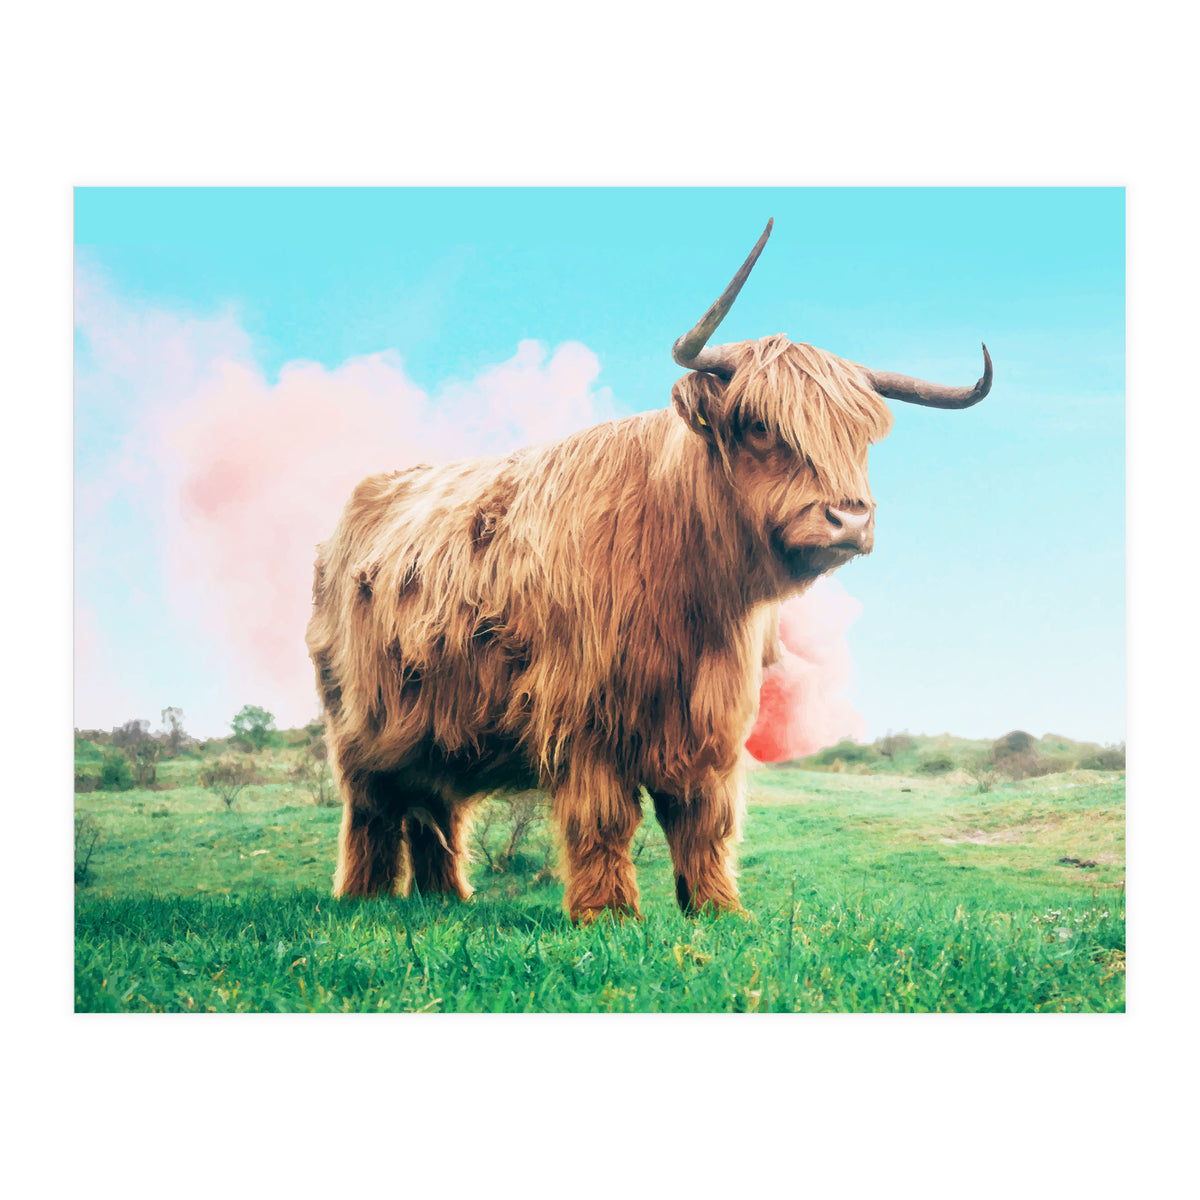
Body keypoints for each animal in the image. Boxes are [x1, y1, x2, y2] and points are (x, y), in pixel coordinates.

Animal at [305, 220, 991, 922]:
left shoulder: (711, 720)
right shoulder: (584, 713)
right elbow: (604, 818)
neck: (689, 591)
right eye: (760, 425)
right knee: (373, 808)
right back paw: (364, 898)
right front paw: (608, 914)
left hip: (434, 725)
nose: (849, 520)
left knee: (433, 807)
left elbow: (704, 818)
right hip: (360, 723)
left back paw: (445, 899)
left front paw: (718, 909)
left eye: (859, 438)